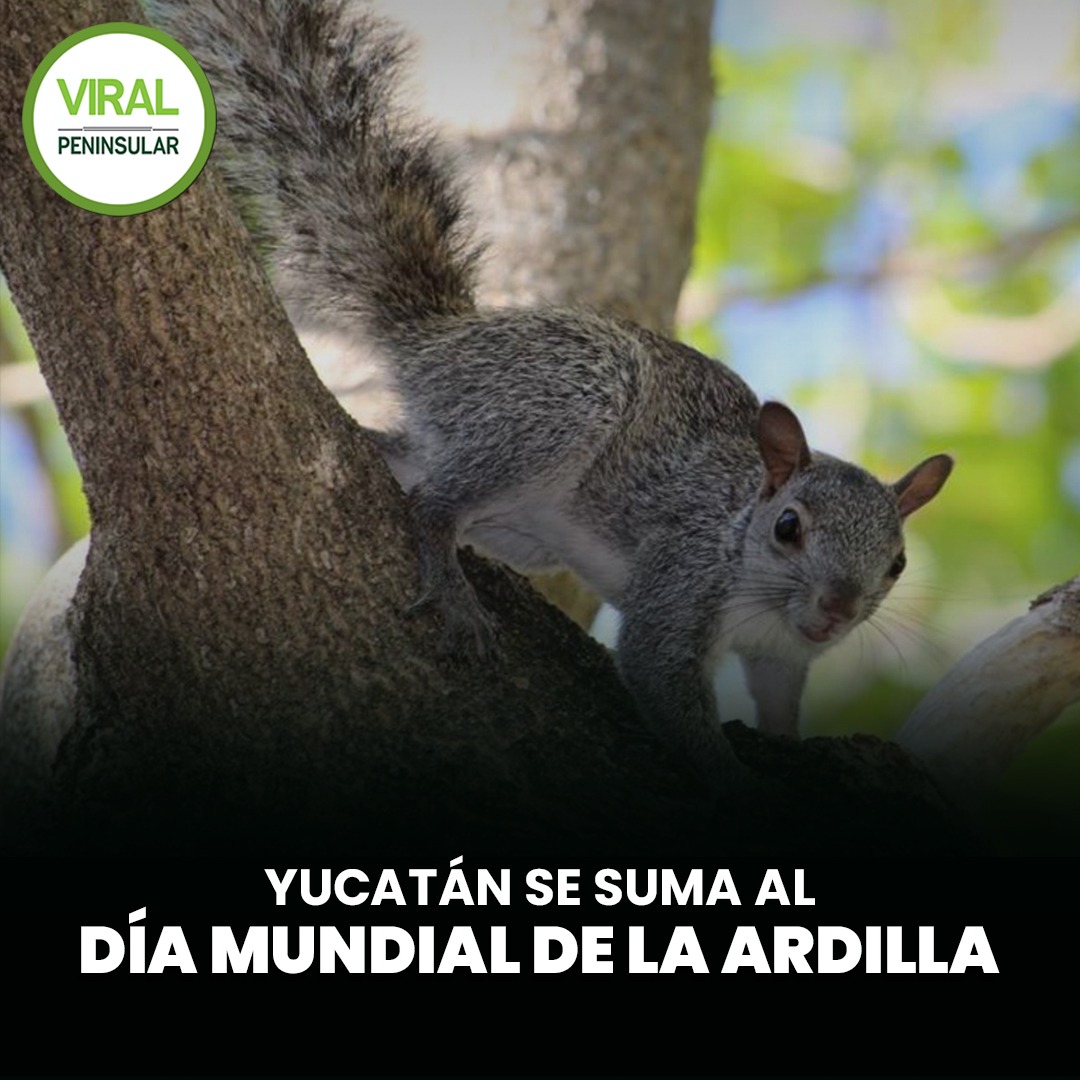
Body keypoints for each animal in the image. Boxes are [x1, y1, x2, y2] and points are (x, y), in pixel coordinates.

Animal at [150, 0, 953, 784]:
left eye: (897, 562)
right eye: (789, 528)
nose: (837, 610)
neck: (741, 537)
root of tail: (439, 342)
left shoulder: (781, 656)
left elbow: (780, 705)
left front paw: (792, 747)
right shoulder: (683, 578)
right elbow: (662, 681)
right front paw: (733, 778)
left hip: (521, 521)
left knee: (410, 458)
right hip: (569, 397)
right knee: (434, 501)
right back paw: (452, 582)